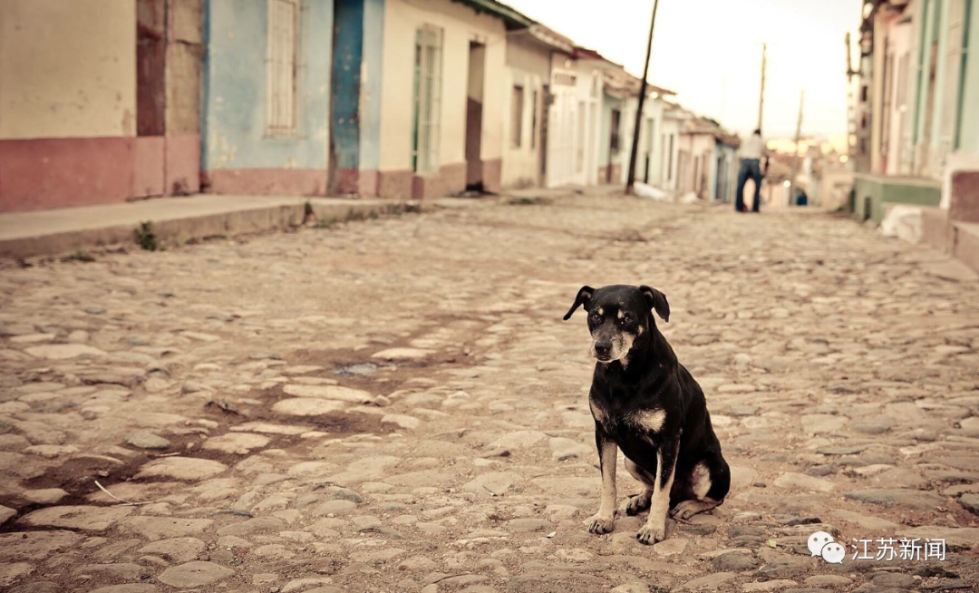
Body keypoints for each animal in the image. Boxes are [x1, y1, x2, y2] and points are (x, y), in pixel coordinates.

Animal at [568, 284, 728, 544]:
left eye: (627, 318)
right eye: (594, 316)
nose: (601, 347)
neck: (623, 376)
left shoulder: (668, 440)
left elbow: (662, 492)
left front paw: (653, 529)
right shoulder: (604, 434)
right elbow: (608, 483)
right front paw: (604, 518)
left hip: (709, 468)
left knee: (711, 498)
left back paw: (687, 506)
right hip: (630, 460)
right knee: (652, 485)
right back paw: (639, 499)